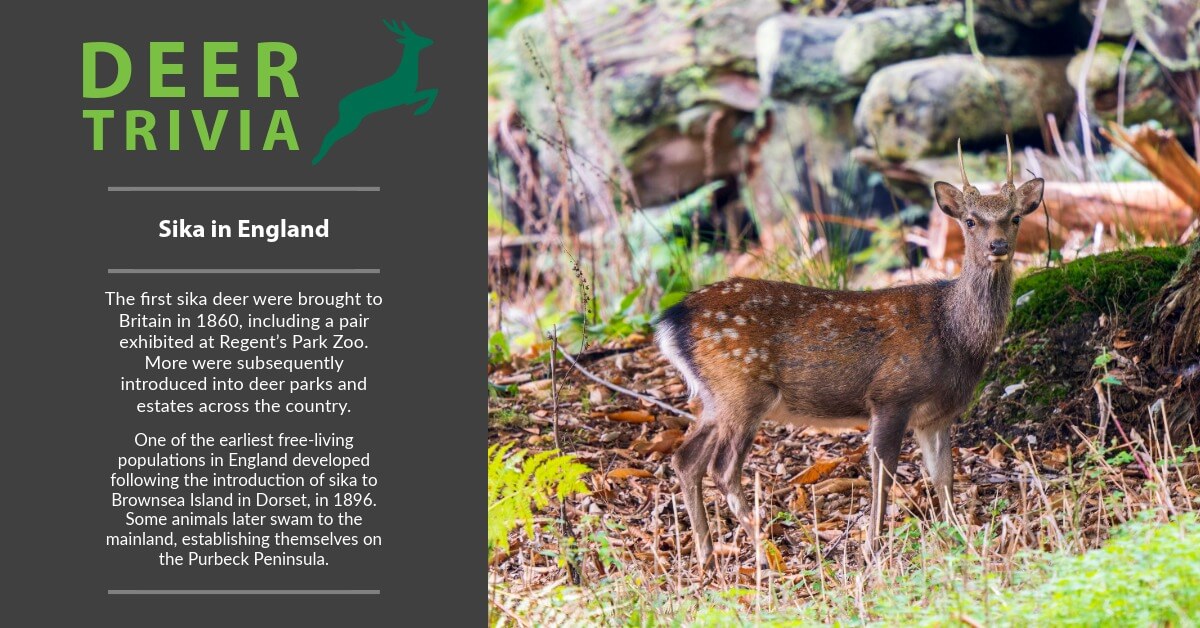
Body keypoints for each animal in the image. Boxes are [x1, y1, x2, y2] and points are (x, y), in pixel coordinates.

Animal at [311, 20, 438, 165]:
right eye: (415, 39)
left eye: (418, 34)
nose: (430, 40)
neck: (406, 77)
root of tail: (340, 104)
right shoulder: (406, 98)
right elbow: (432, 91)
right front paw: (420, 111)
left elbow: (434, 90)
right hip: (351, 119)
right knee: (331, 134)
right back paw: (316, 159)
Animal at [655, 137, 1044, 567]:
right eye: (971, 221)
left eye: (1014, 218)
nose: (998, 246)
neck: (954, 335)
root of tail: (671, 320)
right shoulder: (891, 395)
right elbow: (884, 472)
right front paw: (873, 547)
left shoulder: (937, 415)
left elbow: (943, 474)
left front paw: (959, 536)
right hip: (742, 389)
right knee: (722, 468)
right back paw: (769, 555)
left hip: (715, 397)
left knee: (686, 459)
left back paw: (707, 554)